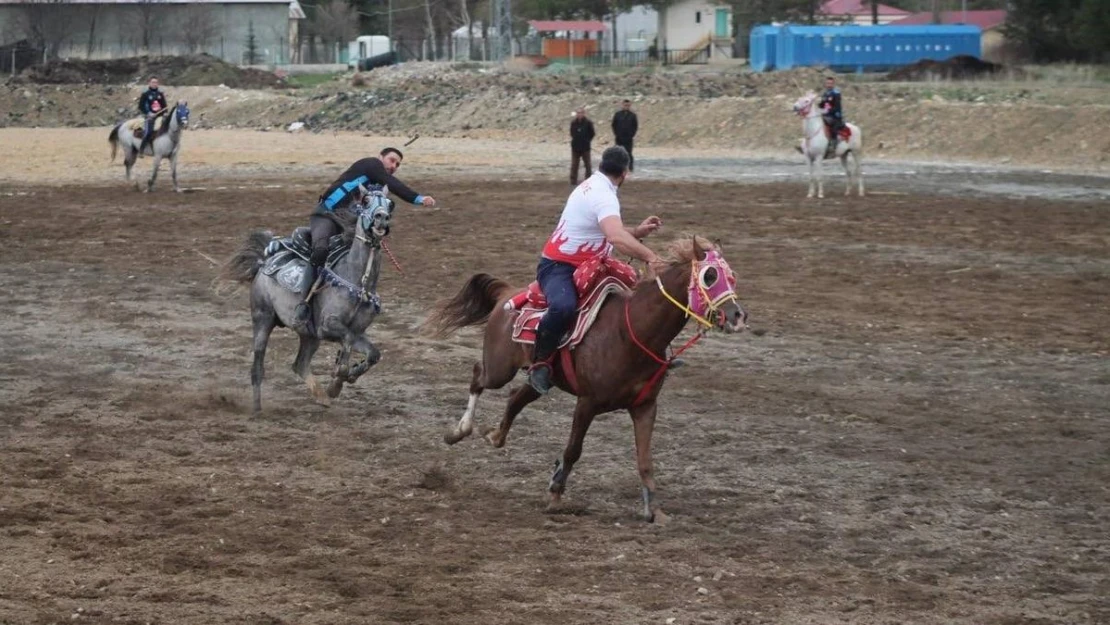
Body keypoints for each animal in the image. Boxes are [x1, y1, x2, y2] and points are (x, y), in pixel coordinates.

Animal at [222, 188, 395, 412]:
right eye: (365, 201)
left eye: (390, 204)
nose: (382, 218)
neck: (358, 280)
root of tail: (264, 262)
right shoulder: (329, 326)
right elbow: (347, 342)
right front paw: (338, 377)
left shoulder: (356, 331)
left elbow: (373, 353)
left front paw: (339, 382)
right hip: (263, 319)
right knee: (257, 368)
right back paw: (257, 409)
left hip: (309, 336)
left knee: (300, 364)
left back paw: (322, 396)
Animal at [428, 237, 750, 521]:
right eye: (710, 276)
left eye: (732, 276)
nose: (738, 316)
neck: (631, 330)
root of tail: (508, 292)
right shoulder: (587, 403)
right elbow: (573, 451)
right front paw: (555, 495)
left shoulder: (645, 406)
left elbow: (645, 461)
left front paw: (655, 511)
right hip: (499, 368)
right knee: (478, 377)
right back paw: (458, 430)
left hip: (541, 379)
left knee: (516, 398)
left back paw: (494, 435)